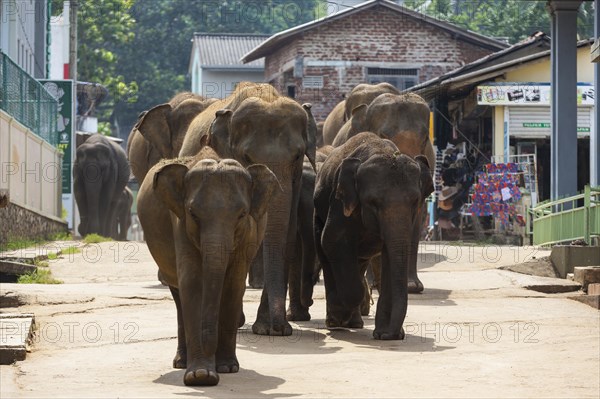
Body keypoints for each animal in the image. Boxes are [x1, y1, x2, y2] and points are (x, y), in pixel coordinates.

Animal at [137, 145, 278, 386]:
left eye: (242, 214)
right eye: (193, 214)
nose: (209, 345)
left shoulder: (247, 234)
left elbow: (233, 285)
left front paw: (227, 368)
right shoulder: (180, 225)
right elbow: (193, 283)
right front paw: (200, 376)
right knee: (178, 294)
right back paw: (181, 362)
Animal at [178, 82, 316, 338]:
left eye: (297, 156)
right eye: (247, 157)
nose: (281, 328)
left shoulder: (296, 181)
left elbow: (286, 236)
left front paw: (268, 329)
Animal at [314, 133, 432, 340]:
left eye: (415, 201)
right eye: (373, 202)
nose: (393, 335)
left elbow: (390, 256)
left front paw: (385, 334)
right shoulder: (339, 202)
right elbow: (332, 240)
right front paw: (344, 313)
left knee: (359, 260)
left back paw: (354, 322)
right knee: (326, 252)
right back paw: (336, 322)